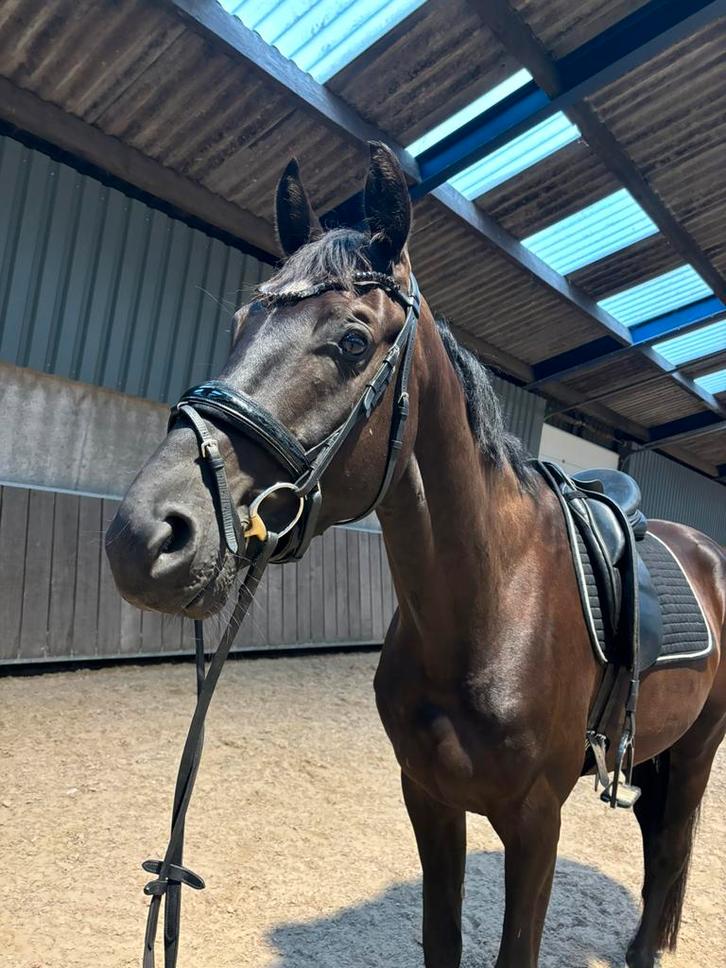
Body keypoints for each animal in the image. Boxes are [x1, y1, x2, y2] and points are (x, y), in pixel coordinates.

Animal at [106, 142, 726, 968]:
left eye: (353, 341)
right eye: (241, 323)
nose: (145, 534)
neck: (491, 607)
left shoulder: (538, 820)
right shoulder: (428, 797)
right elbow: (440, 938)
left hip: (697, 750)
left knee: (673, 845)